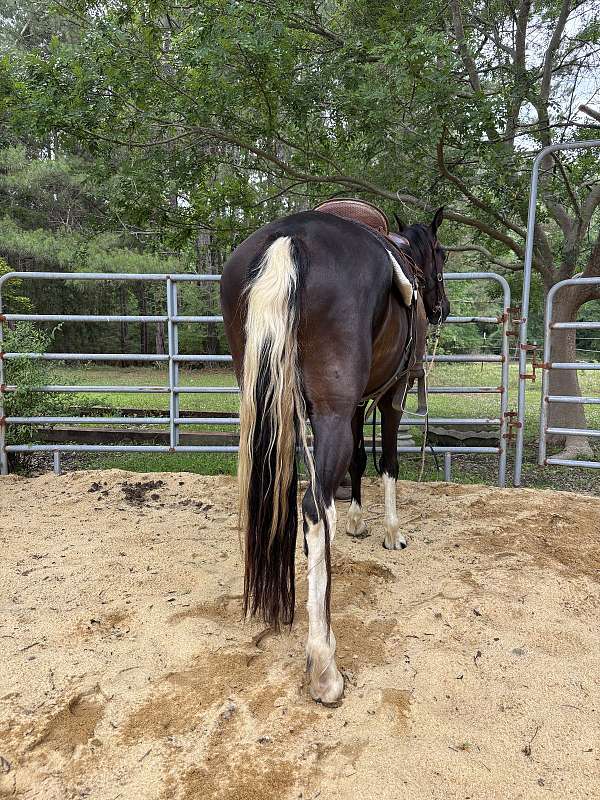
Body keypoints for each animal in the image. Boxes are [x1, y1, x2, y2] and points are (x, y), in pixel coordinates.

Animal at [220, 207, 450, 705]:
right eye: (441, 255)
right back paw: (324, 664)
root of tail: (288, 238)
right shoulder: (392, 396)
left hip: (272, 404)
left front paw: (357, 523)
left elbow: (359, 461)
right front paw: (391, 533)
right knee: (313, 505)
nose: (441, 306)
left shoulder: (358, 404)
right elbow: (387, 462)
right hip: (329, 411)